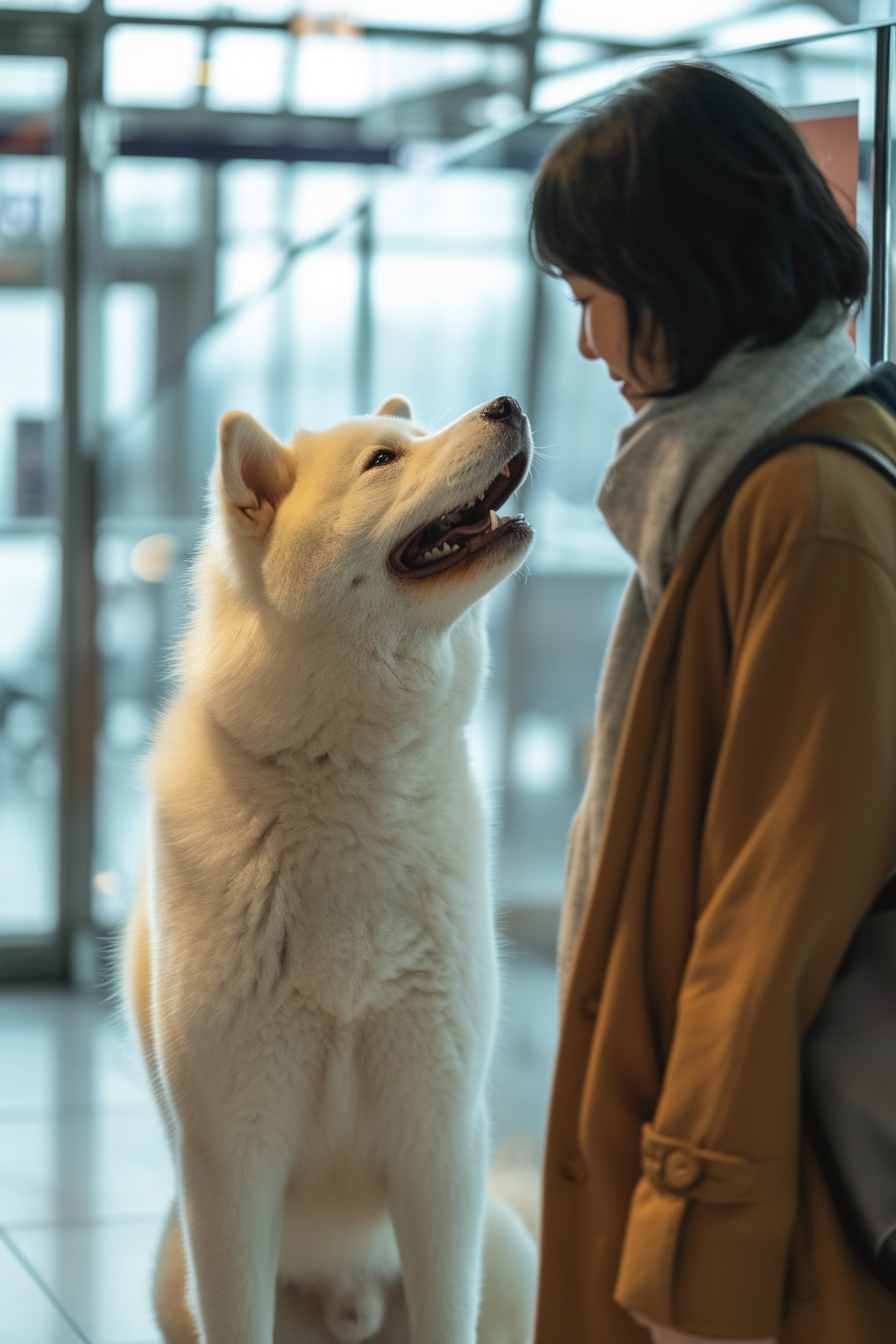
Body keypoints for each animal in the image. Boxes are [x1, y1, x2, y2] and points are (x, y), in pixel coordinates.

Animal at [126, 392, 540, 1344]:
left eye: (418, 434)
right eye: (384, 460)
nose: (508, 404)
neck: (348, 781)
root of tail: (349, 1300)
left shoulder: (439, 1144)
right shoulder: (232, 1166)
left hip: (502, 1250)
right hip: (176, 1275)